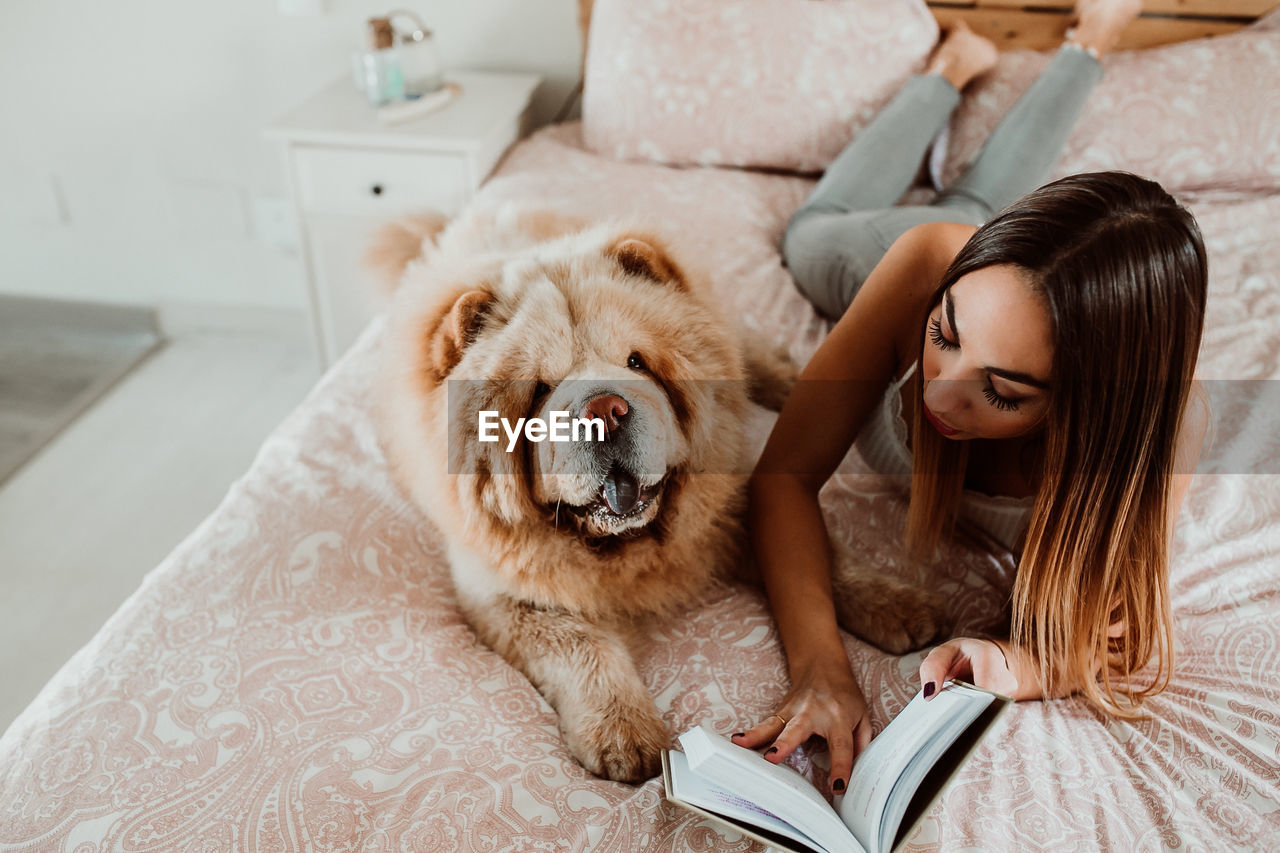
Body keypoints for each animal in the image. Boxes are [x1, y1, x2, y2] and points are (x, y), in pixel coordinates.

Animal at [371, 206, 942, 778]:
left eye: (636, 363)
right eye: (539, 390)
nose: (605, 410)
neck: (627, 547)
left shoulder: (734, 501)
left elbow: (824, 557)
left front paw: (899, 606)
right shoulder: (503, 598)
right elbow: (581, 645)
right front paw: (625, 735)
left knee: (736, 343)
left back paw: (783, 378)